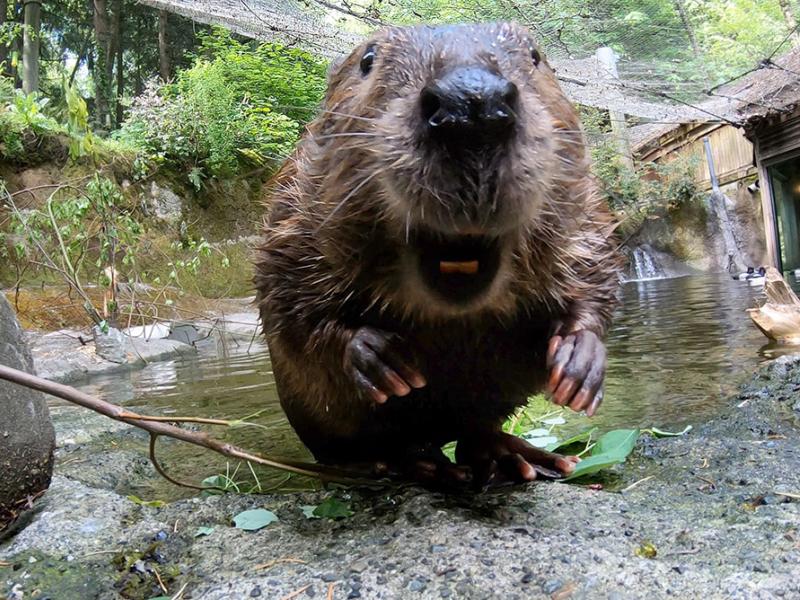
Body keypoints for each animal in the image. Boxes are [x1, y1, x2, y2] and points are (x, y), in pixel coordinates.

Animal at [253, 21, 620, 486]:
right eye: (367, 59)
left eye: (536, 56)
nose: (473, 104)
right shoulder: (293, 209)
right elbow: (291, 309)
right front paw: (381, 358)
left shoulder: (584, 204)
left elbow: (596, 270)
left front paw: (578, 365)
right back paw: (411, 462)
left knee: (475, 431)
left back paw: (519, 457)